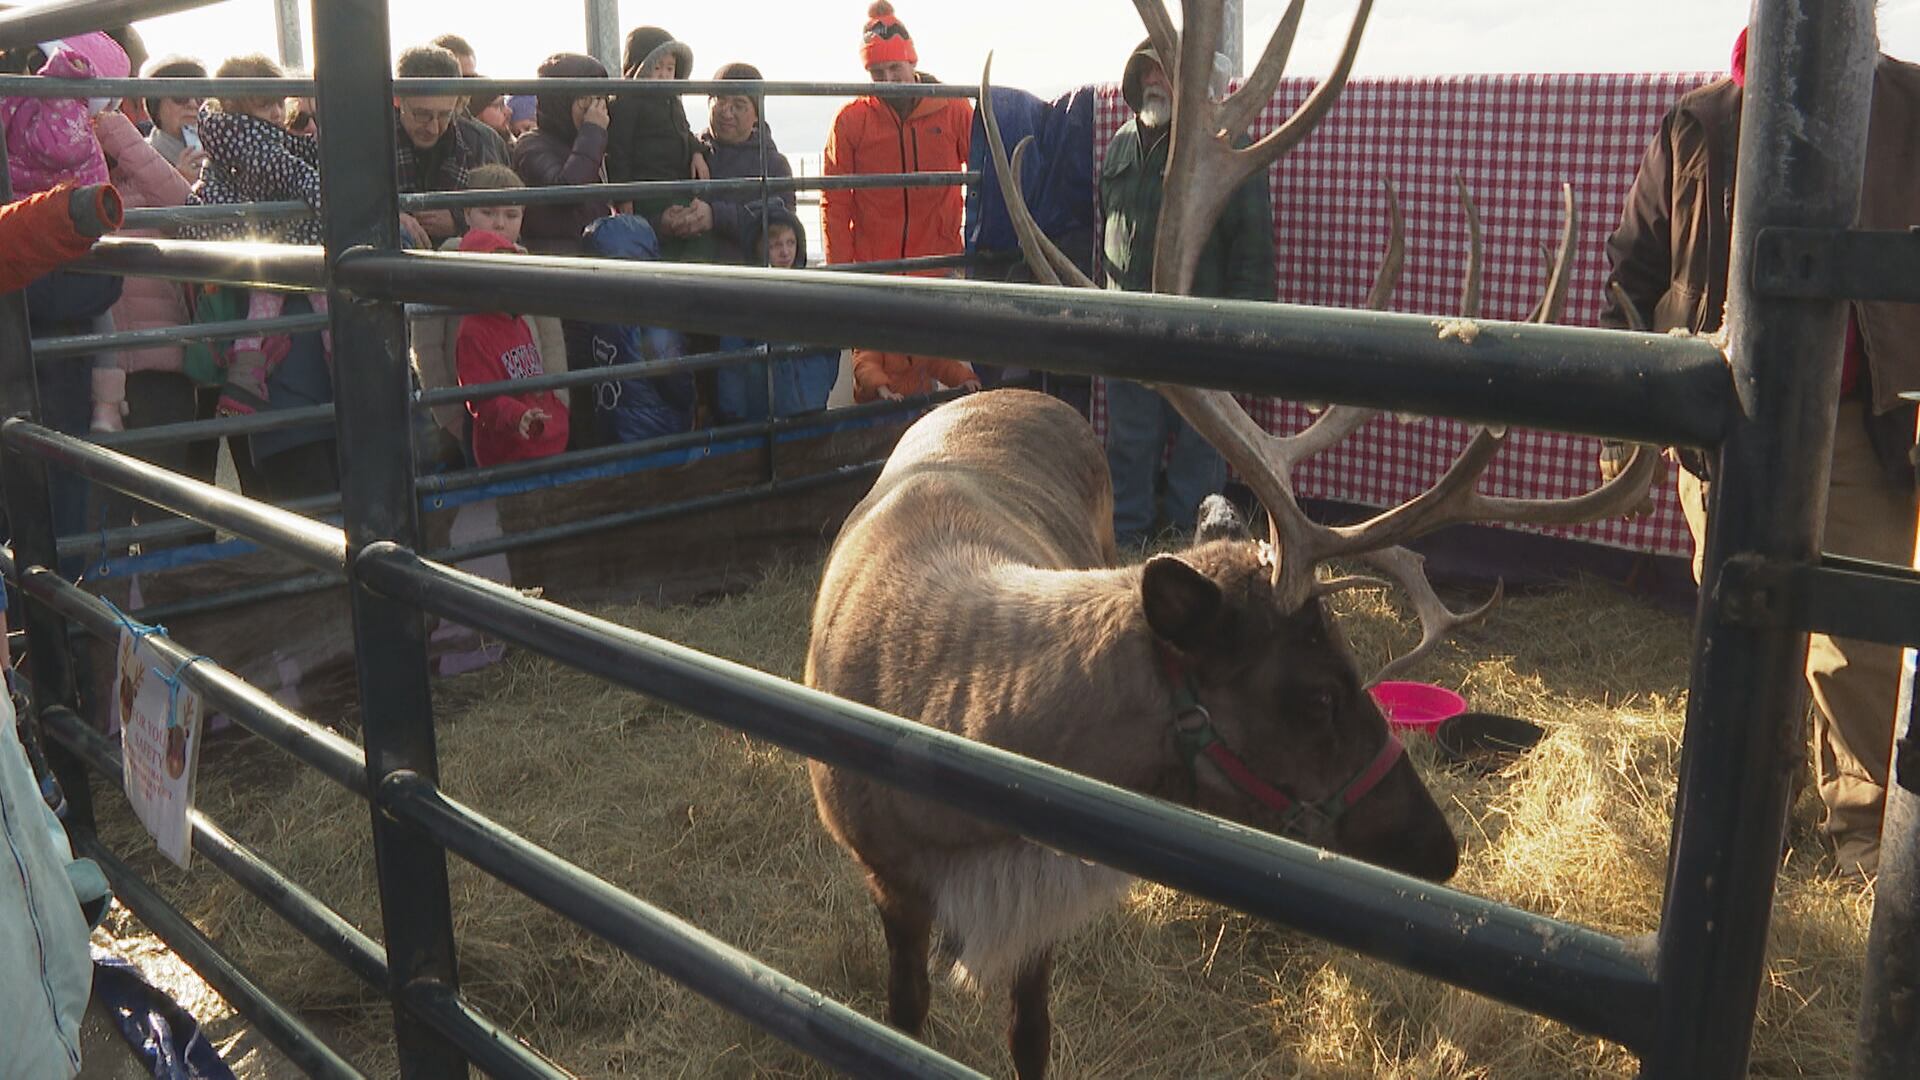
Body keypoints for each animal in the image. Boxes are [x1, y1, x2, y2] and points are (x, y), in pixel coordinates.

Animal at [803, 2, 1657, 1077]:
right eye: (1318, 693)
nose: (1441, 848)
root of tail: (1021, 390)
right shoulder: (888, 883)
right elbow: (905, 1014)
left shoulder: (1044, 903)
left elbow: (1032, 1035)